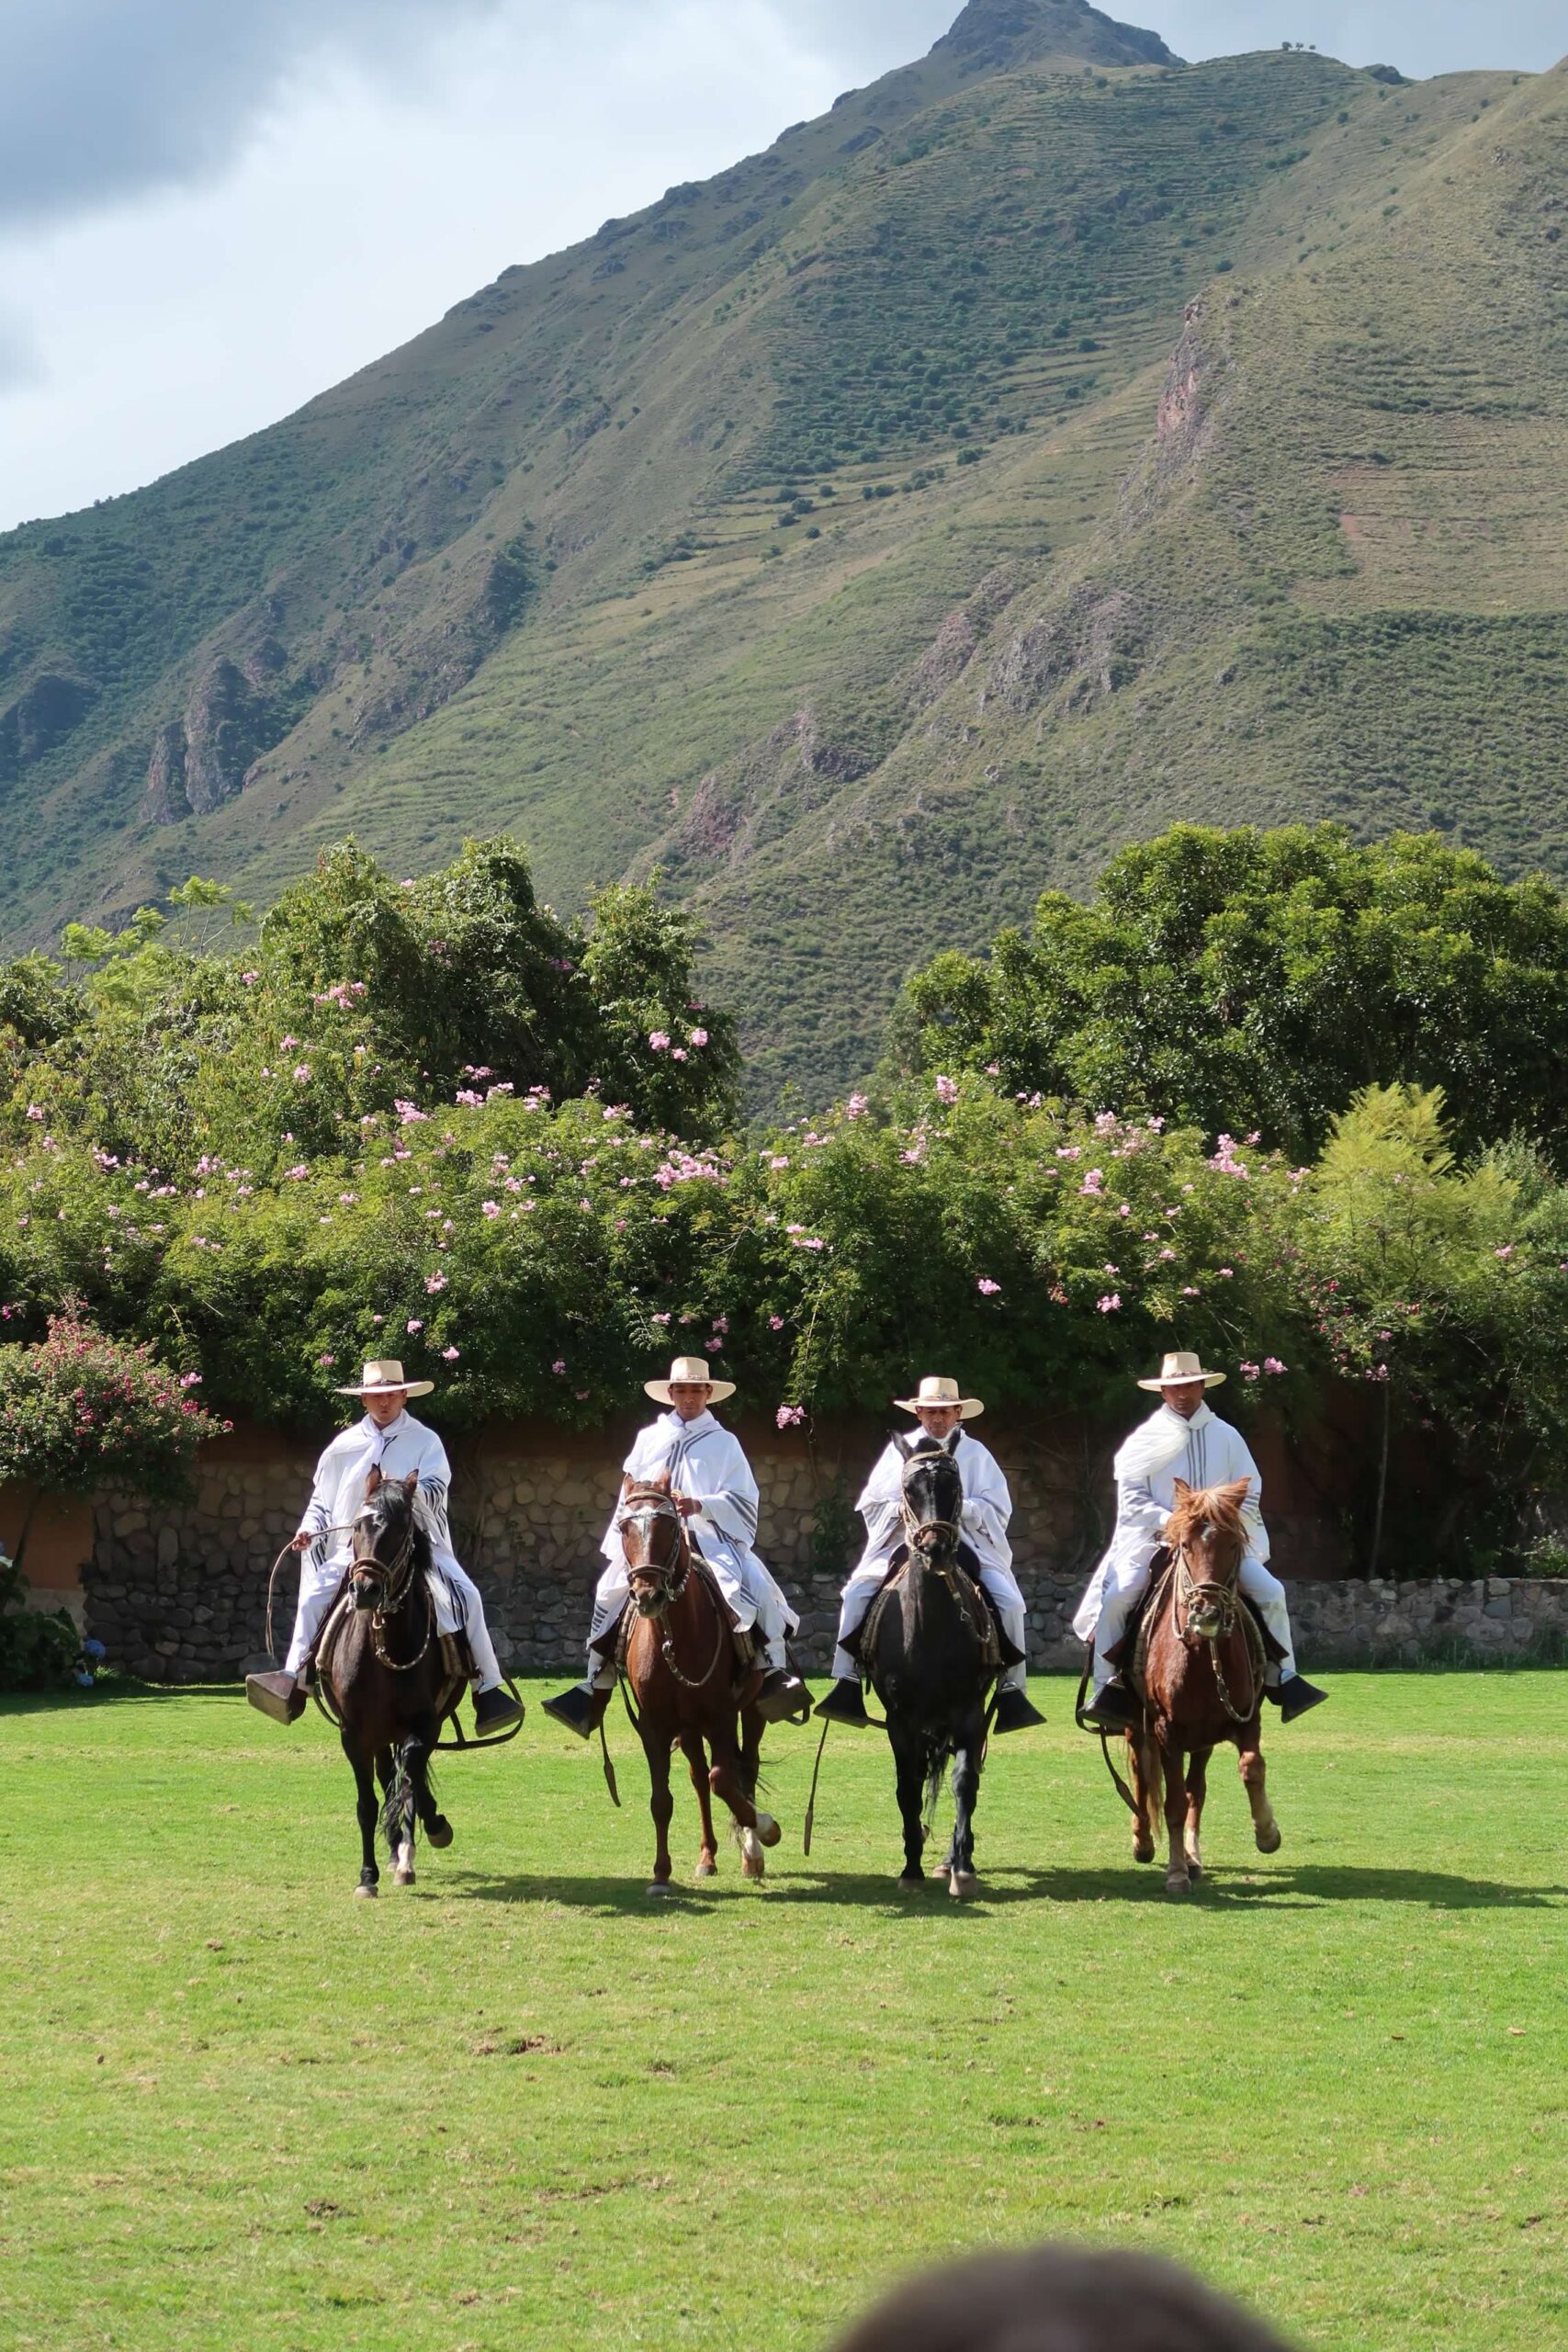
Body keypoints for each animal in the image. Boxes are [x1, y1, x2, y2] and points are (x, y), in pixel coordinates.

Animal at [317, 1467, 460, 1891]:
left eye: (400, 1530)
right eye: (358, 1526)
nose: (365, 1589)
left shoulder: (426, 1724)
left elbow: (411, 1774)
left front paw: (421, 1838)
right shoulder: (353, 1734)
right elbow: (368, 1803)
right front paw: (368, 1875)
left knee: (405, 1774)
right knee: (387, 1775)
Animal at [615, 1467, 780, 1891]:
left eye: (669, 1525)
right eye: (624, 1527)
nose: (647, 1595)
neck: (676, 1639)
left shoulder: (720, 1717)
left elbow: (726, 1779)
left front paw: (765, 1829)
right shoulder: (655, 1726)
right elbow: (662, 1800)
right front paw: (660, 1873)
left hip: (749, 1711)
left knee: (745, 1767)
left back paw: (752, 1851)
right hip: (688, 1728)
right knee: (699, 1779)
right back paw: (708, 1856)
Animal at [860, 1430, 991, 1891]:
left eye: (953, 1486)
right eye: (909, 1489)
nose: (935, 1548)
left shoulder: (969, 1712)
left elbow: (964, 1782)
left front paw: (962, 1867)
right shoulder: (901, 1720)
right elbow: (908, 1785)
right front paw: (911, 1867)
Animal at [1128, 1476, 1288, 1900]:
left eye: (1233, 1544)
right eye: (1185, 1545)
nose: (1207, 1612)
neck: (1203, 1656)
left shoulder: (1244, 1720)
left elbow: (1251, 1768)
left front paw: (1267, 1833)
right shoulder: (1166, 1731)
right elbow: (1170, 1803)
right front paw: (1175, 1873)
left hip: (1201, 1741)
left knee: (1194, 1790)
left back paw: (1193, 1857)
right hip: (1137, 1727)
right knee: (1140, 1775)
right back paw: (1144, 1842)